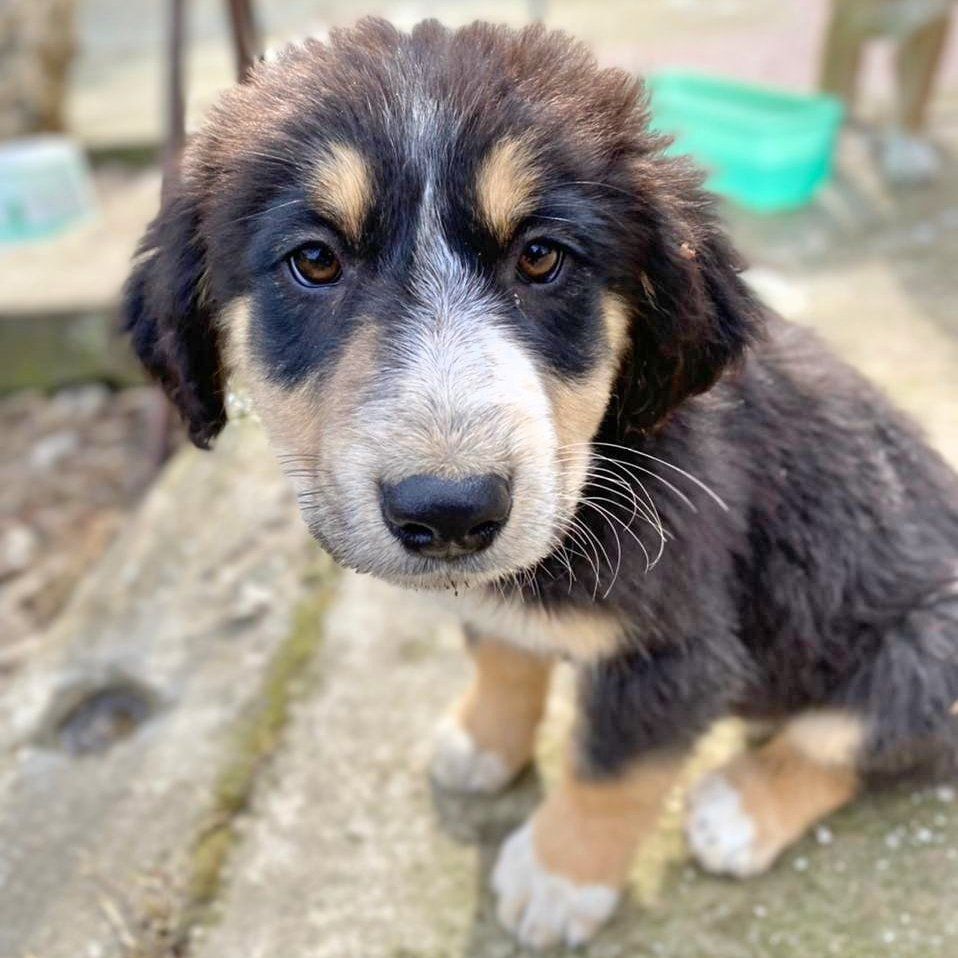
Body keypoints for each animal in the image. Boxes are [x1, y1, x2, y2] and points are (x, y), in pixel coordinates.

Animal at [123, 20, 958, 949]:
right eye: (313, 261)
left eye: (542, 257)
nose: (452, 512)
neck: (603, 458)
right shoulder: (498, 595)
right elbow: (503, 658)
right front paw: (485, 744)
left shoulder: (674, 651)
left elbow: (610, 771)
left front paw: (559, 881)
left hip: (929, 642)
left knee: (855, 736)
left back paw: (740, 810)